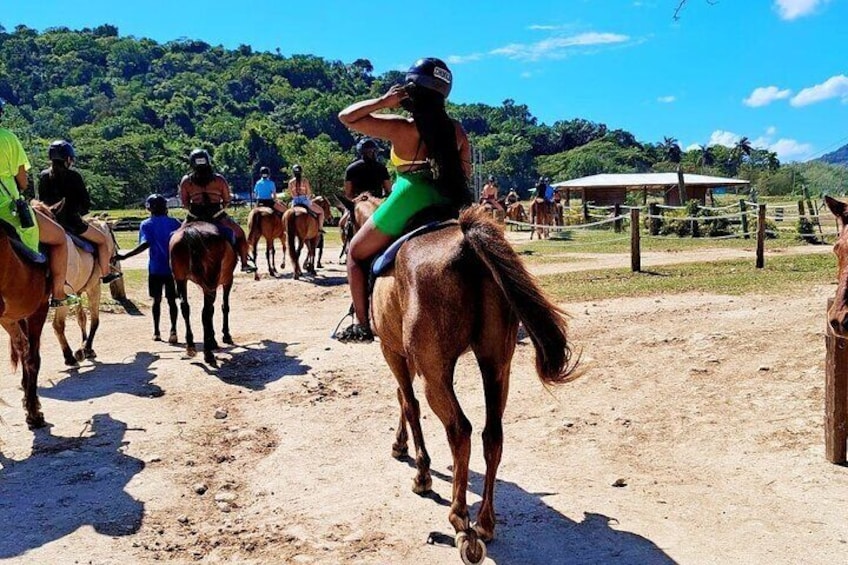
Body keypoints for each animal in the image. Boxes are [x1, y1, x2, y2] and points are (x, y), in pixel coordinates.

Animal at [169, 220, 237, 362]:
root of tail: (190, 231)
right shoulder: (228, 281)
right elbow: (224, 307)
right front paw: (225, 336)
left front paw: (213, 340)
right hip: (211, 282)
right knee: (205, 312)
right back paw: (207, 353)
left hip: (180, 279)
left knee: (185, 308)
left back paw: (190, 346)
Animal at [374, 207, 580, 564]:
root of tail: (466, 245)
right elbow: (402, 398)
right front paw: (400, 445)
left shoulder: (393, 352)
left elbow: (408, 403)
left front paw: (421, 473)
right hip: (496, 365)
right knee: (492, 434)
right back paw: (485, 521)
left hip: (435, 373)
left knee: (460, 429)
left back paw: (461, 521)